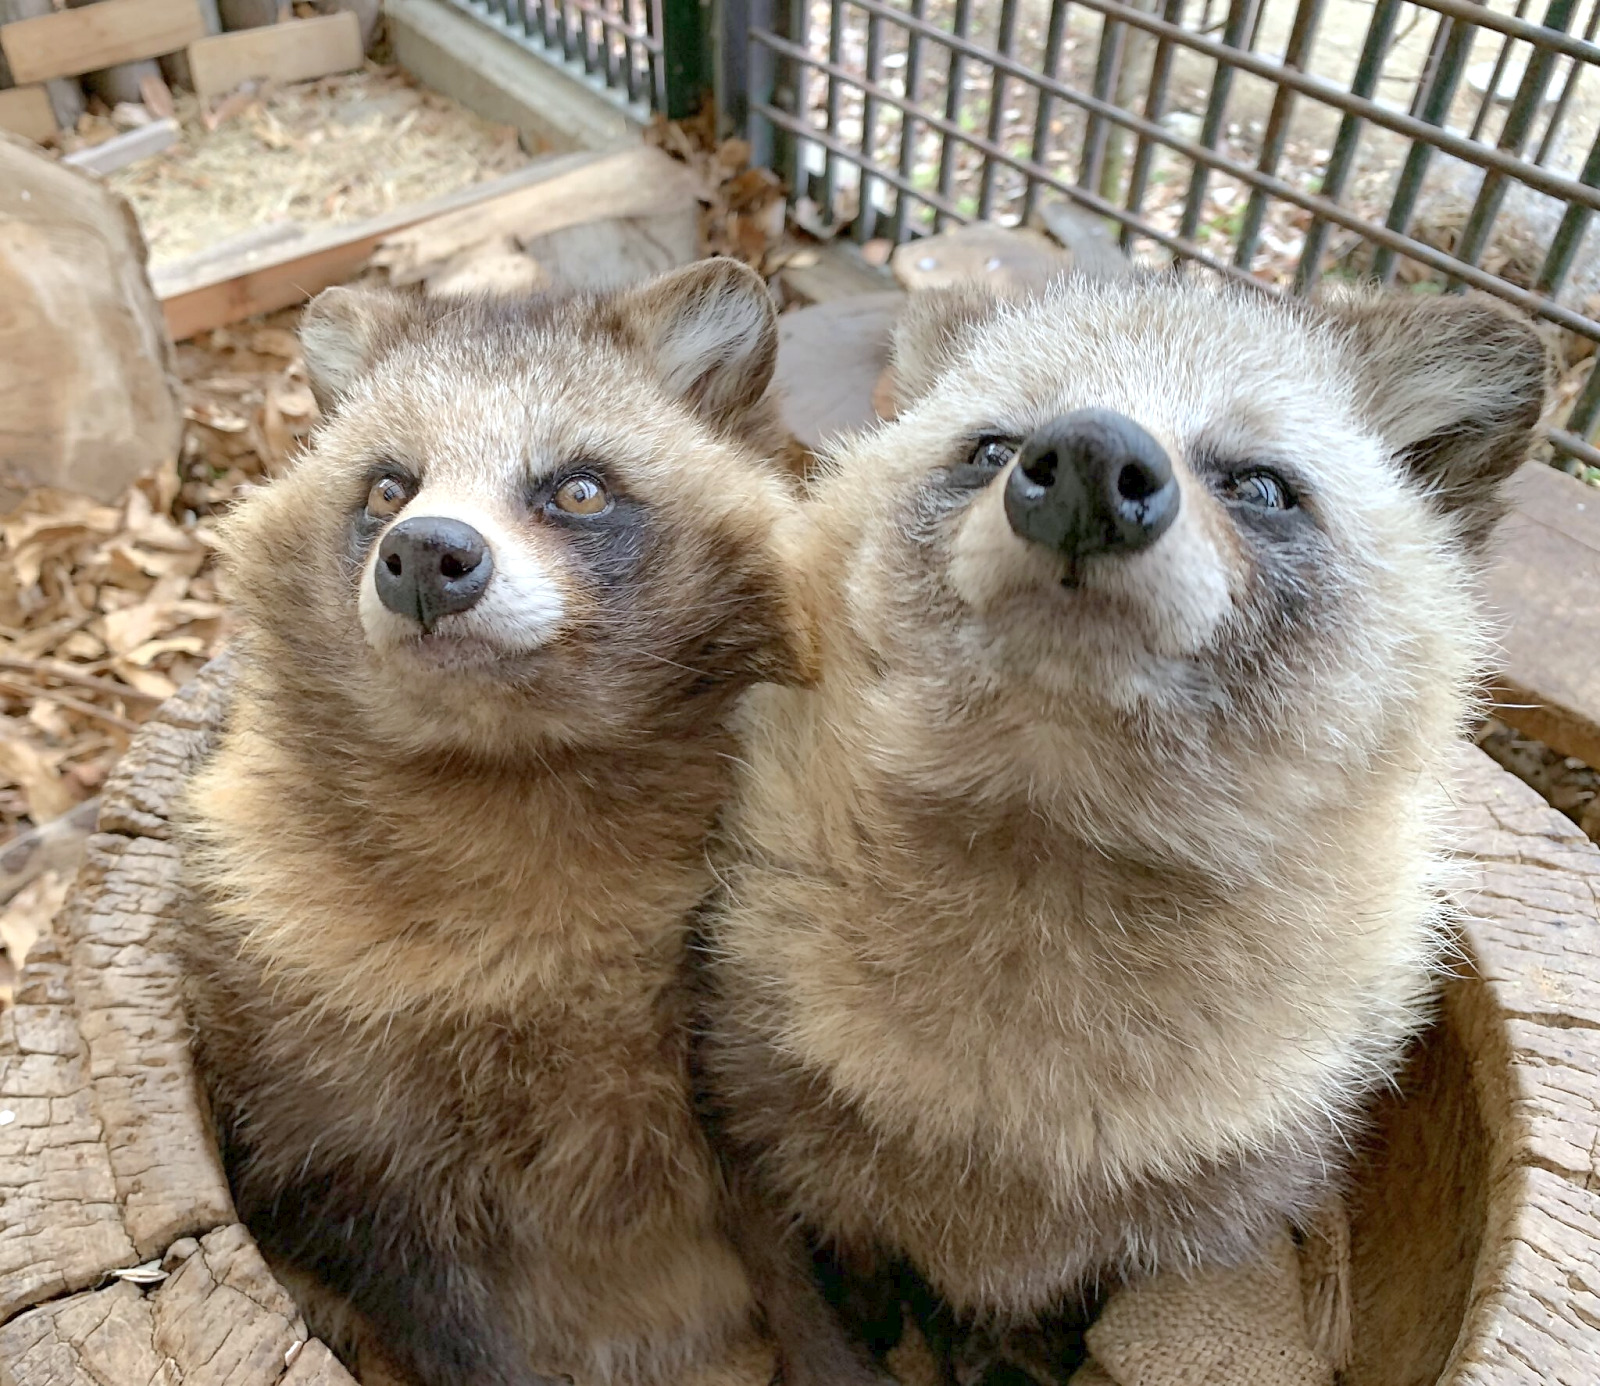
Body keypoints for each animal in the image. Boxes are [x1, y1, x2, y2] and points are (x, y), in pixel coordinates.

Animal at [178, 256, 812, 1382]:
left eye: (579, 487)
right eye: (388, 486)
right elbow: (420, 1287)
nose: (426, 553)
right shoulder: (315, 1070)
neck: (507, 765)